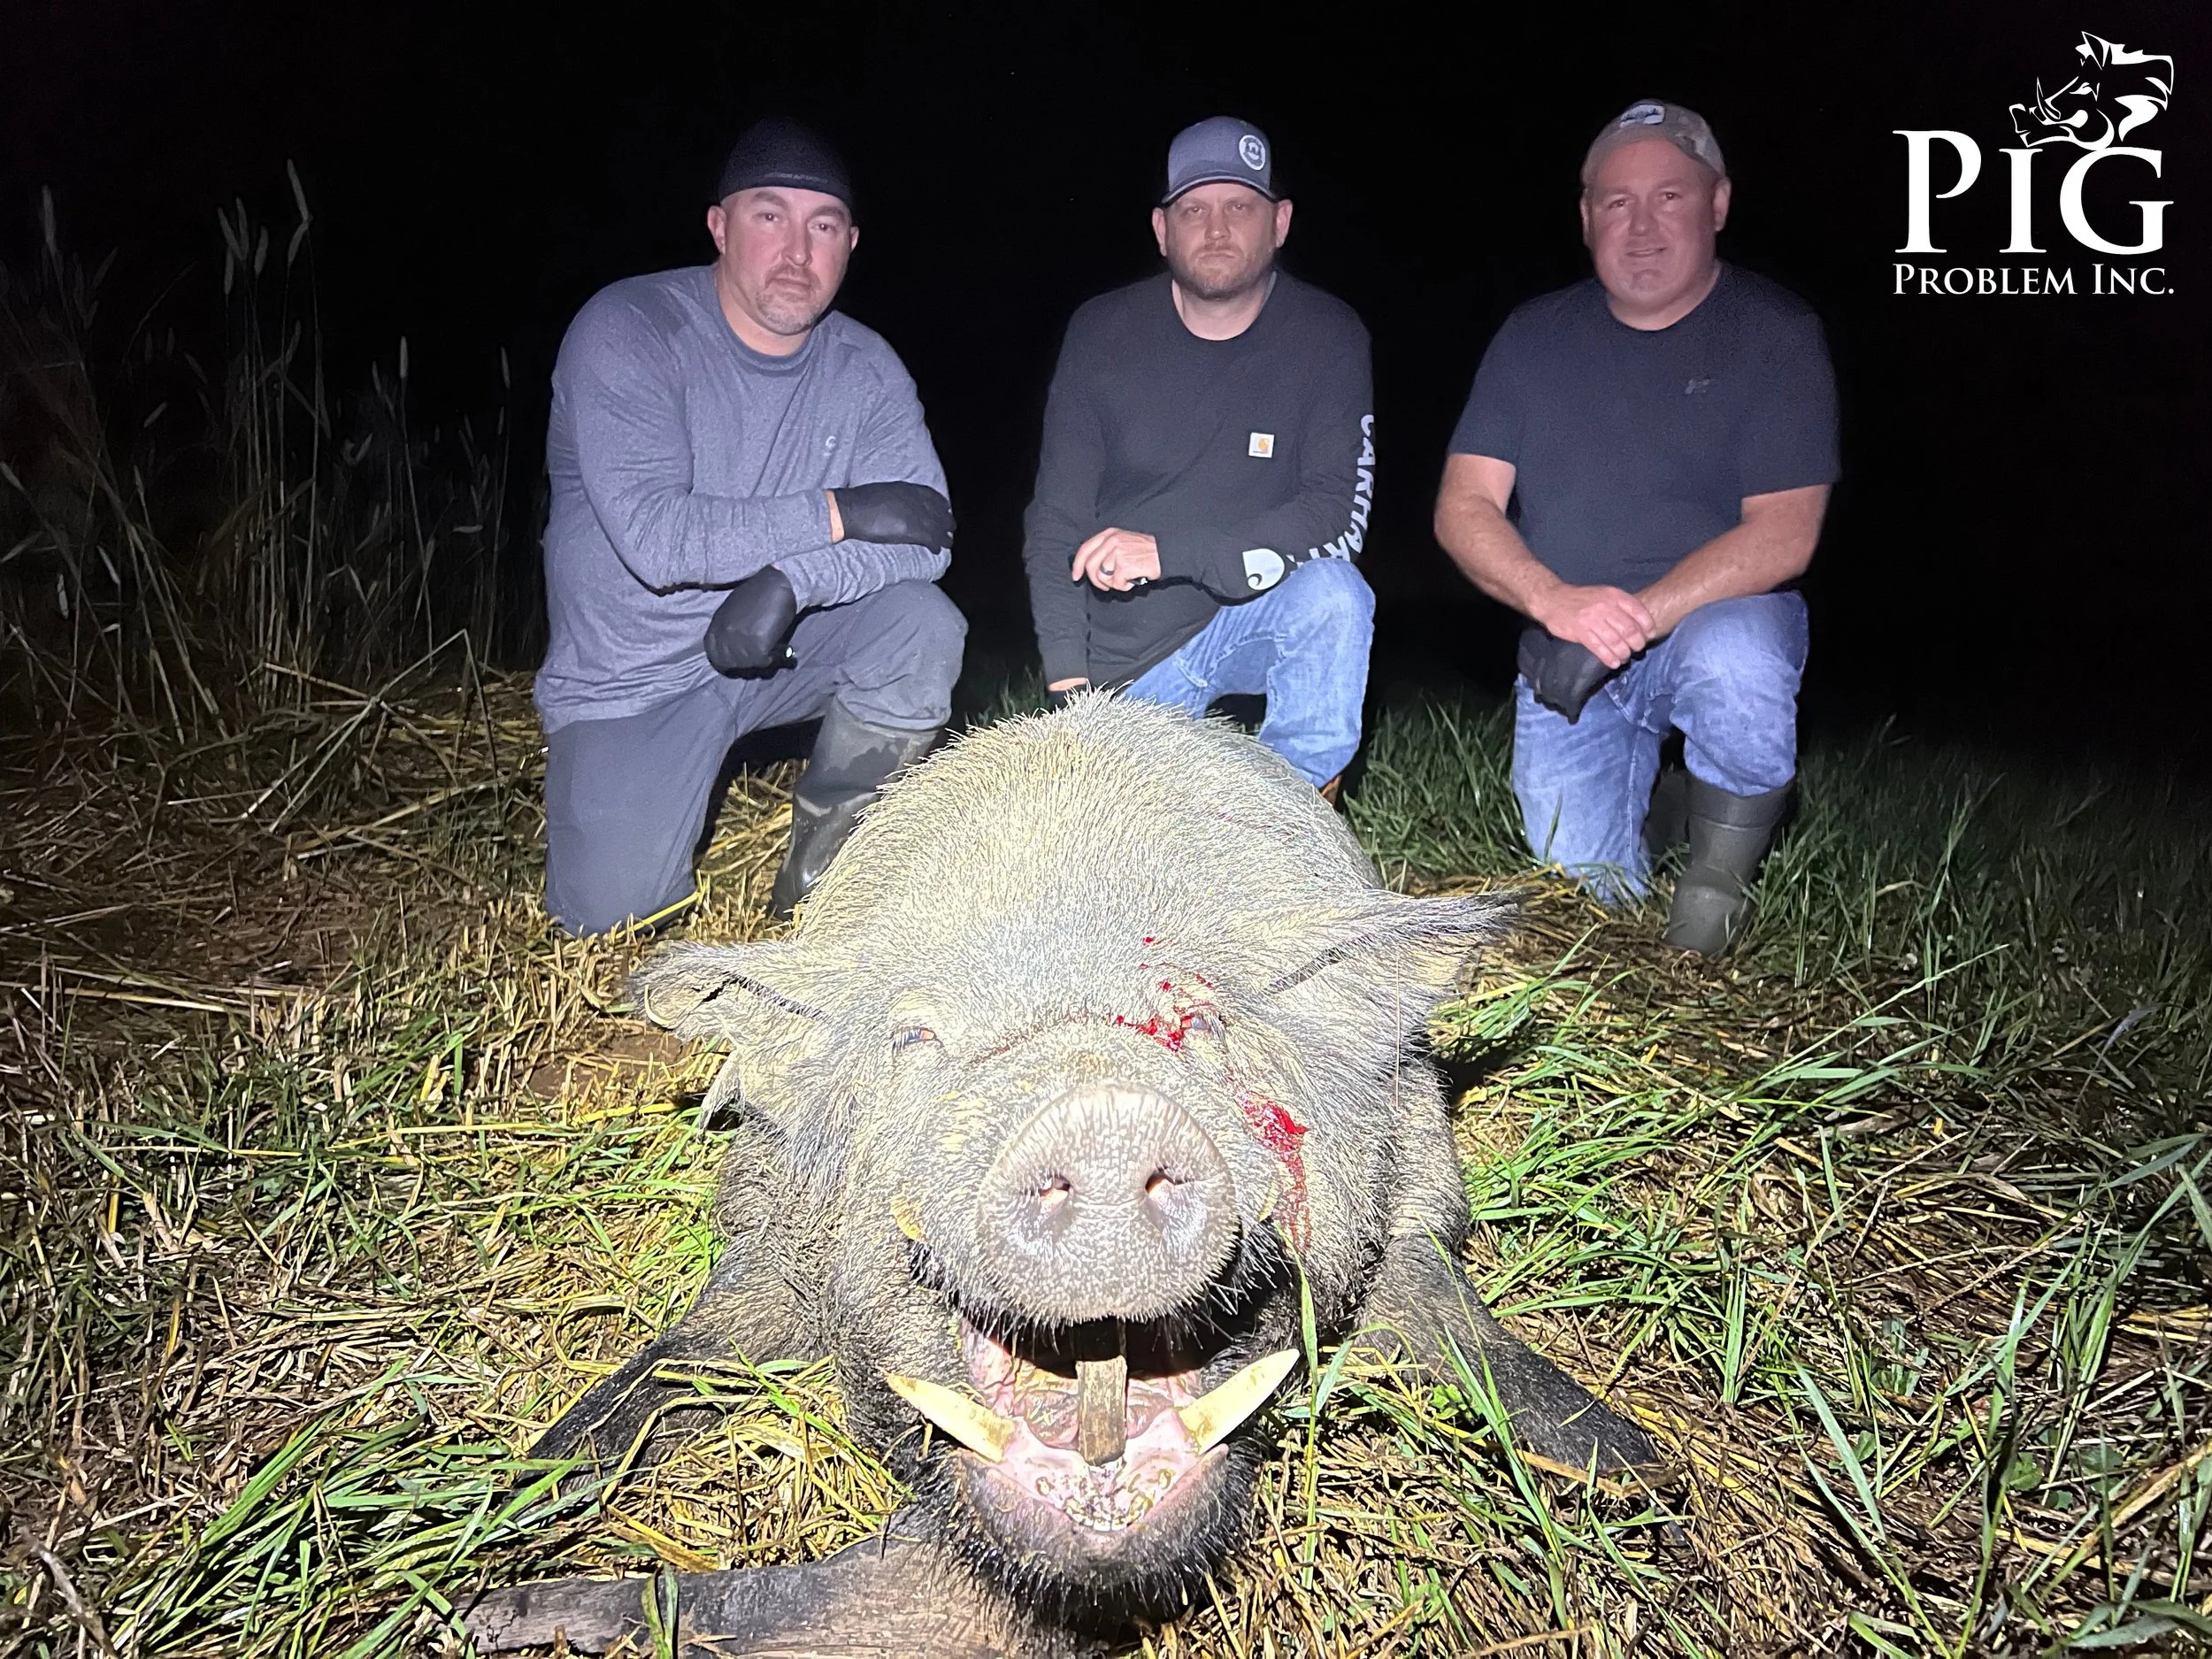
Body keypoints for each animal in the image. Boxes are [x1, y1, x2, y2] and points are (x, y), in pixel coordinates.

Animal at [467, 696, 1656, 1655]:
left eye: (1204, 1021)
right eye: (915, 1040)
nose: (1099, 1117)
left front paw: (1639, 1472)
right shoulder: (770, 1235)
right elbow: (675, 1357)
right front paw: (499, 1538)